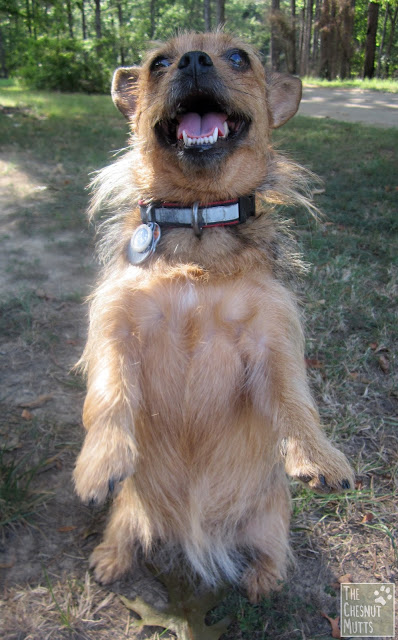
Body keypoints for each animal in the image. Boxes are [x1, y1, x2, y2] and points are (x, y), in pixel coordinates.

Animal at [74, 32, 354, 604]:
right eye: (158, 63)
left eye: (239, 58)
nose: (193, 60)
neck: (199, 223)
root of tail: (194, 533)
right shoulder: (115, 326)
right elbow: (107, 396)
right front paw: (101, 461)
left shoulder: (271, 336)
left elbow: (295, 398)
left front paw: (319, 457)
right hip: (129, 510)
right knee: (126, 532)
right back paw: (112, 558)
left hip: (272, 516)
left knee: (271, 550)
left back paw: (263, 580)